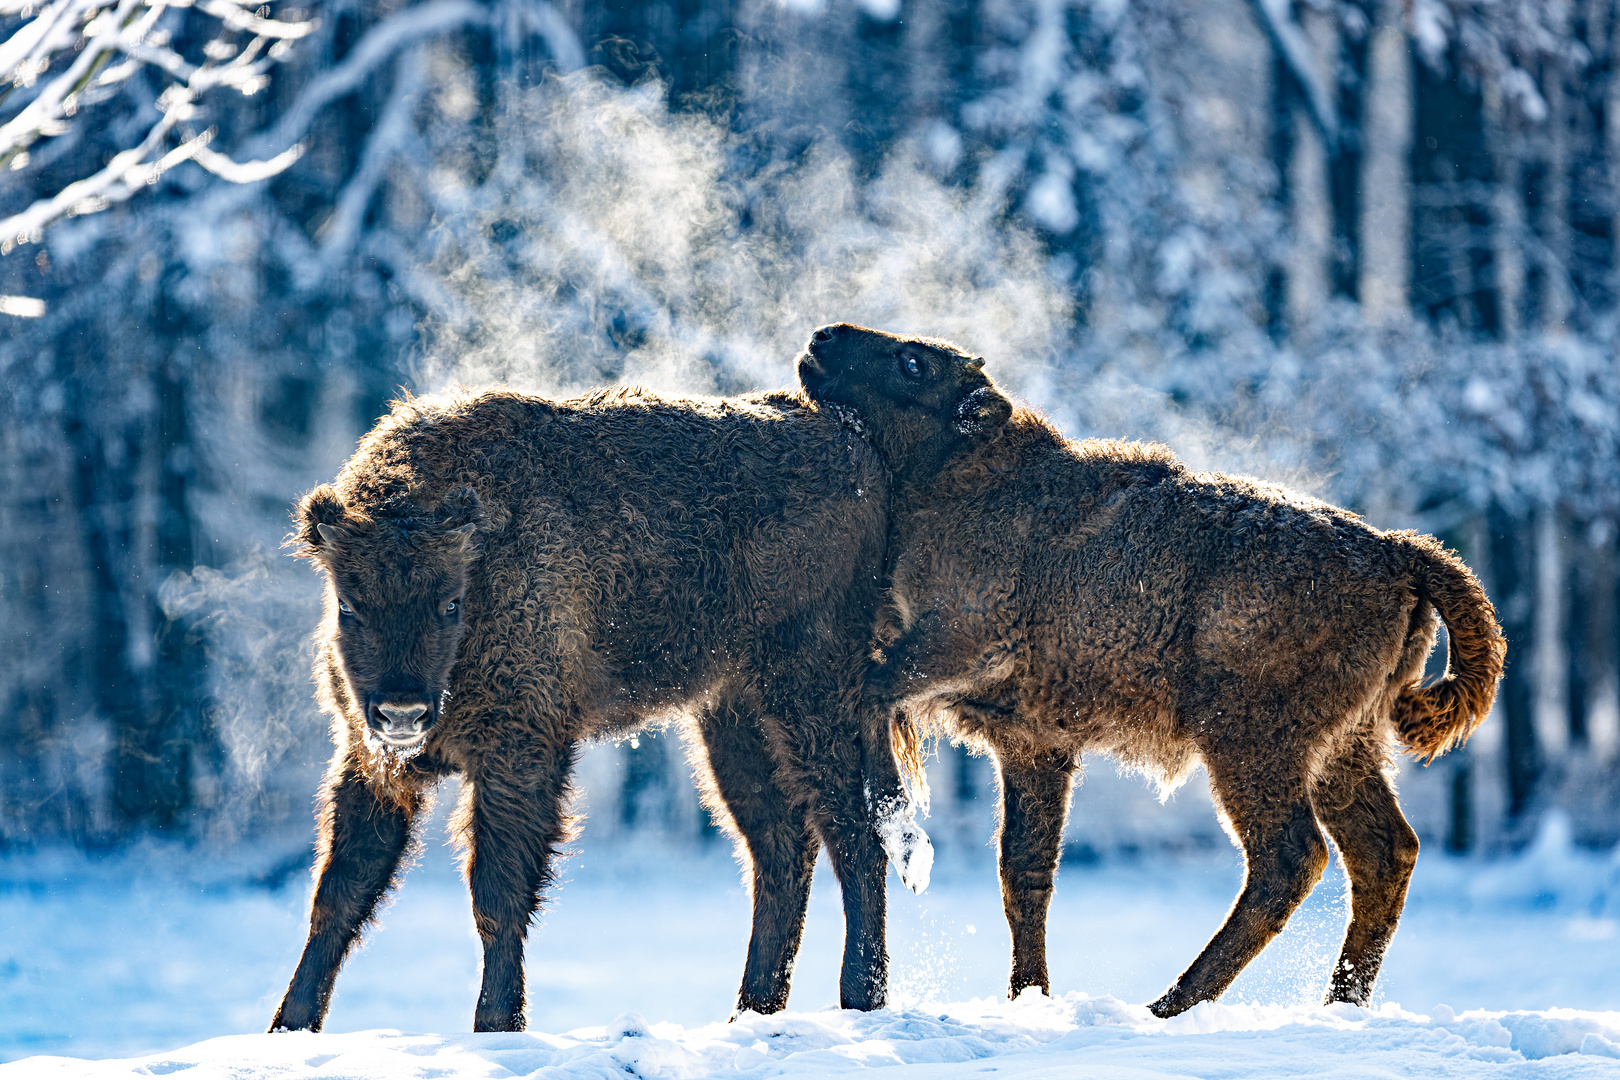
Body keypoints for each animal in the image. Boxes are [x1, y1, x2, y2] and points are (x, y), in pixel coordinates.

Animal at [272, 383, 933, 1036]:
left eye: (450, 602)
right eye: (348, 605)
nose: (402, 713)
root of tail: (848, 438)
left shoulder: (520, 753)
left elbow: (497, 895)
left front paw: (498, 1023)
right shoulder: (370, 763)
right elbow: (339, 893)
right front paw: (289, 1026)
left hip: (811, 700)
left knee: (855, 836)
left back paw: (859, 997)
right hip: (733, 719)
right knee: (780, 848)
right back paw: (750, 1010)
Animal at [797, 325, 1503, 1016]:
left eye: (914, 363)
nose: (821, 340)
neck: (965, 475)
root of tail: (1400, 553)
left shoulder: (959, 645)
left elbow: (874, 693)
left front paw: (902, 834)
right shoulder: (1032, 745)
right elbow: (1025, 872)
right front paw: (1030, 995)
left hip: (1251, 745)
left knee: (1292, 857)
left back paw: (1171, 1003)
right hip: (1343, 749)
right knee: (1384, 852)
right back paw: (1335, 1002)